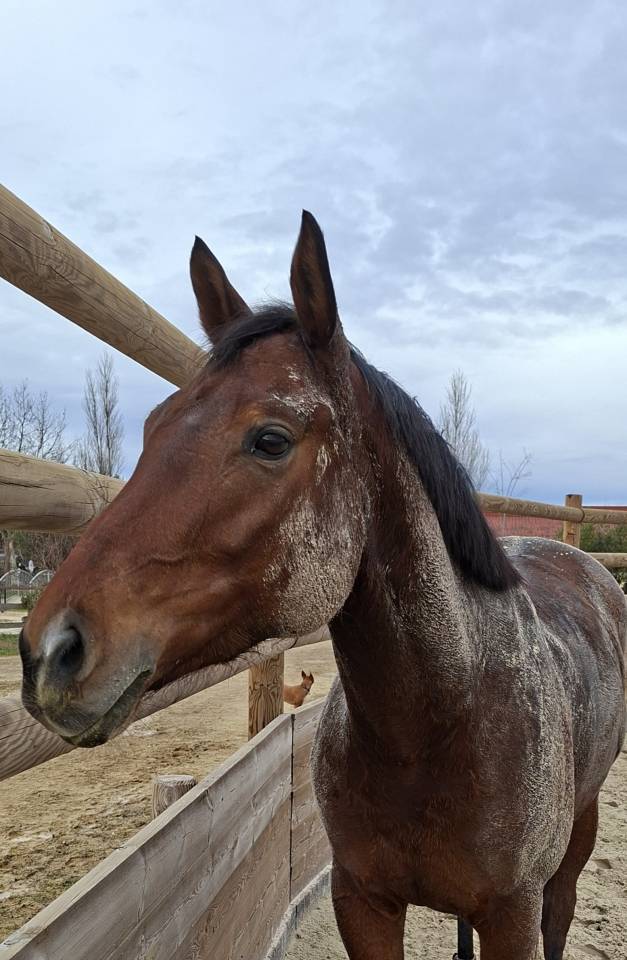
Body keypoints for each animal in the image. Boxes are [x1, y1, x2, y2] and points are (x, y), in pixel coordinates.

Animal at [20, 212, 626, 960]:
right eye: (154, 424)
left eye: (270, 439)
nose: (50, 652)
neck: (442, 724)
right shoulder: (361, 901)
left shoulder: (512, 916)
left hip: (577, 838)